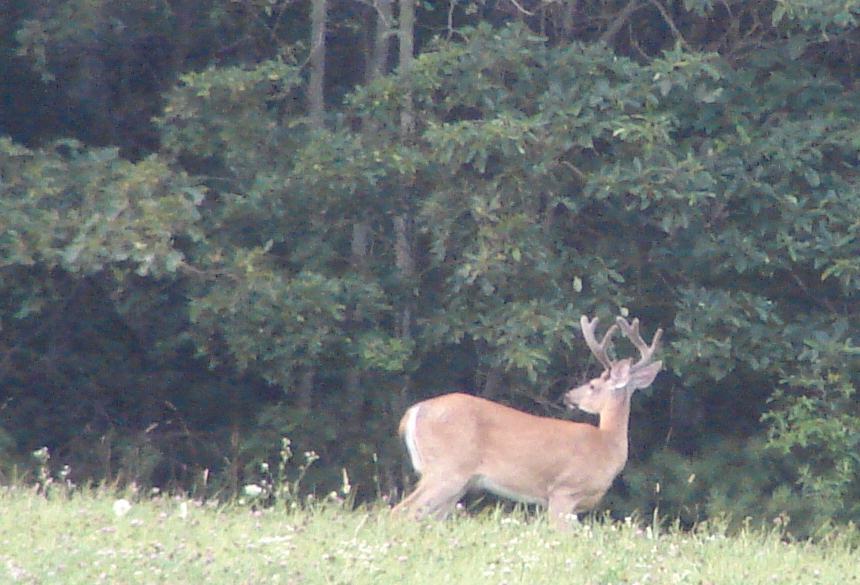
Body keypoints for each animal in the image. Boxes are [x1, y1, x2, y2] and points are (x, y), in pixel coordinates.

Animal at [392, 314, 663, 528]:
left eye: (592, 385)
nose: (569, 396)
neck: (606, 443)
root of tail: (414, 411)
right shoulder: (563, 490)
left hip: (456, 481)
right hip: (447, 469)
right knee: (402, 511)